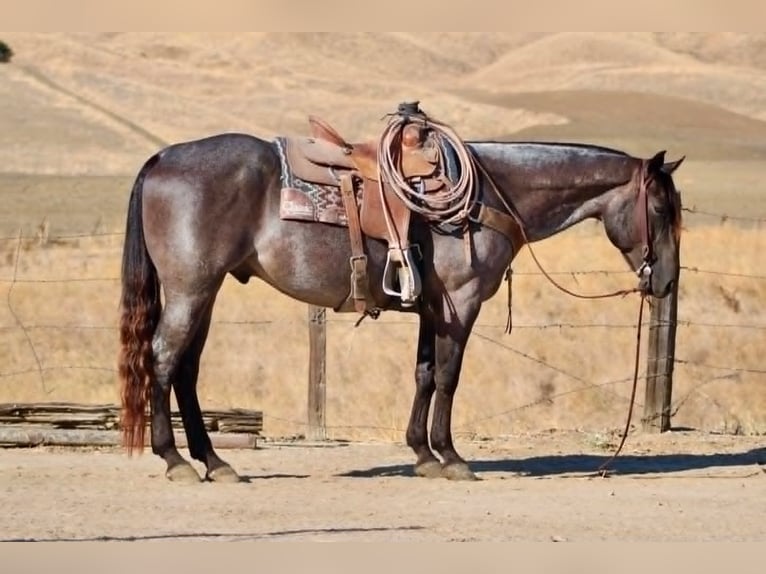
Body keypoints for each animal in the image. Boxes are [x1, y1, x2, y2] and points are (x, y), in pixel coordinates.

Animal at [117, 115, 684, 484]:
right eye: (659, 208)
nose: (666, 282)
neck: (491, 195)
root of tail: (163, 158)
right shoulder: (460, 303)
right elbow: (450, 377)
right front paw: (452, 457)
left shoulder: (433, 308)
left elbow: (425, 373)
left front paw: (423, 455)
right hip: (191, 290)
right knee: (162, 360)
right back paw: (176, 461)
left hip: (204, 292)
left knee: (186, 370)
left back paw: (215, 462)